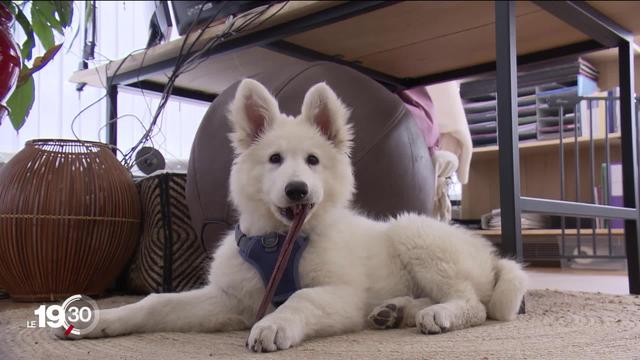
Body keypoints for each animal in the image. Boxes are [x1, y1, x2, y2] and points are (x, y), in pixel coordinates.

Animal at [55, 79, 528, 352]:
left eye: (314, 160)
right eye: (275, 159)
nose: (297, 189)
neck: (279, 239)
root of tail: (490, 258)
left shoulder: (341, 294)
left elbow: (303, 297)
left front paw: (274, 325)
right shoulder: (230, 300)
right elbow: (157, 302)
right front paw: (101, 320)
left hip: (415, 234)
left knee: (474, 304)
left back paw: (438, 314)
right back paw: (394, 311)